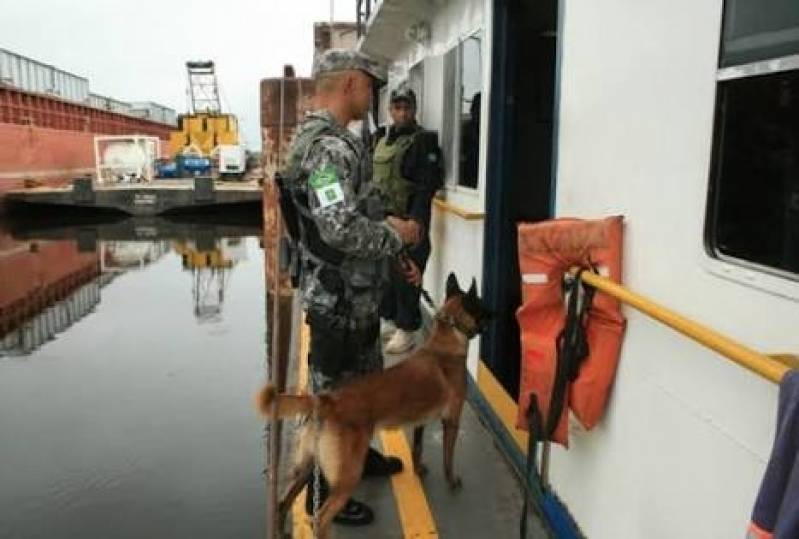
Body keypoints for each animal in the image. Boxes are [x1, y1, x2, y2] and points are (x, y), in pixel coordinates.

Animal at [260, 276, 490, 536]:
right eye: (483, 307)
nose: (496, 314)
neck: (444, 342)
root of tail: (326, 401)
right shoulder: (451, 421)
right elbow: (448, 459)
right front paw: (452, 481)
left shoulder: (420, 422)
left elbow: (417, 448)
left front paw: (419, 470)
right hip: (347, 475)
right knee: (320, 518)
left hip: (307, 465)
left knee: (283, 501)